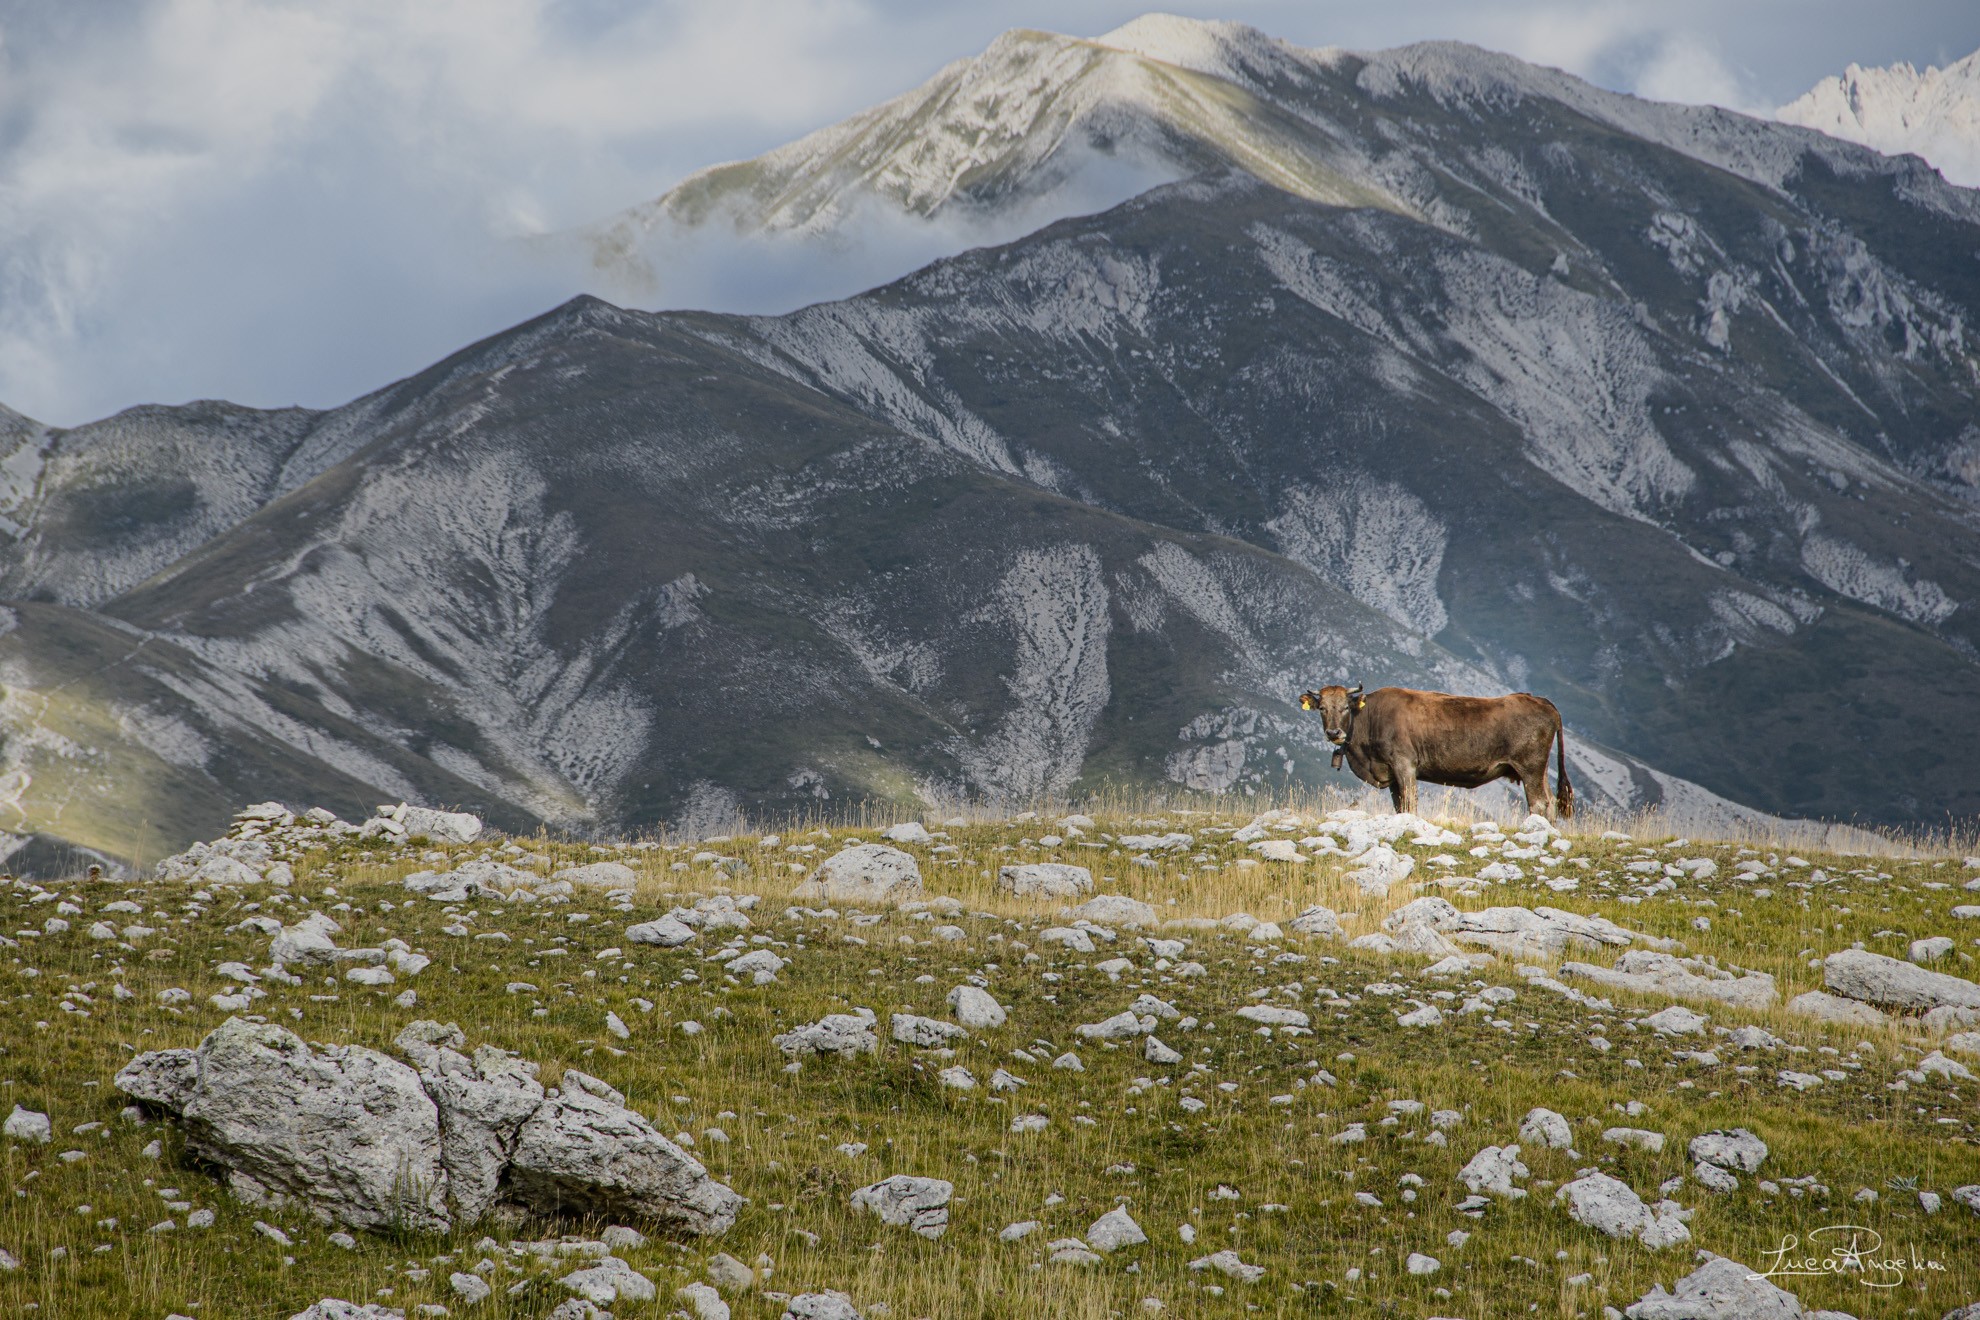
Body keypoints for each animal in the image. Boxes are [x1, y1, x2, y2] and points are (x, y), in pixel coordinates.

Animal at [1298, 688, 1576, 819]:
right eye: (1322, 708)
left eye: (1345, 707)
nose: (1334, 732)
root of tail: (1539, 700)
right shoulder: (1392, 775)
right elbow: (1400, 806)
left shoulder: (1405, 765)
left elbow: (1410, 803)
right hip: (1538, 770)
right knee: (1551, 802)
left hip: (1529, 767)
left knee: (1539, 803)